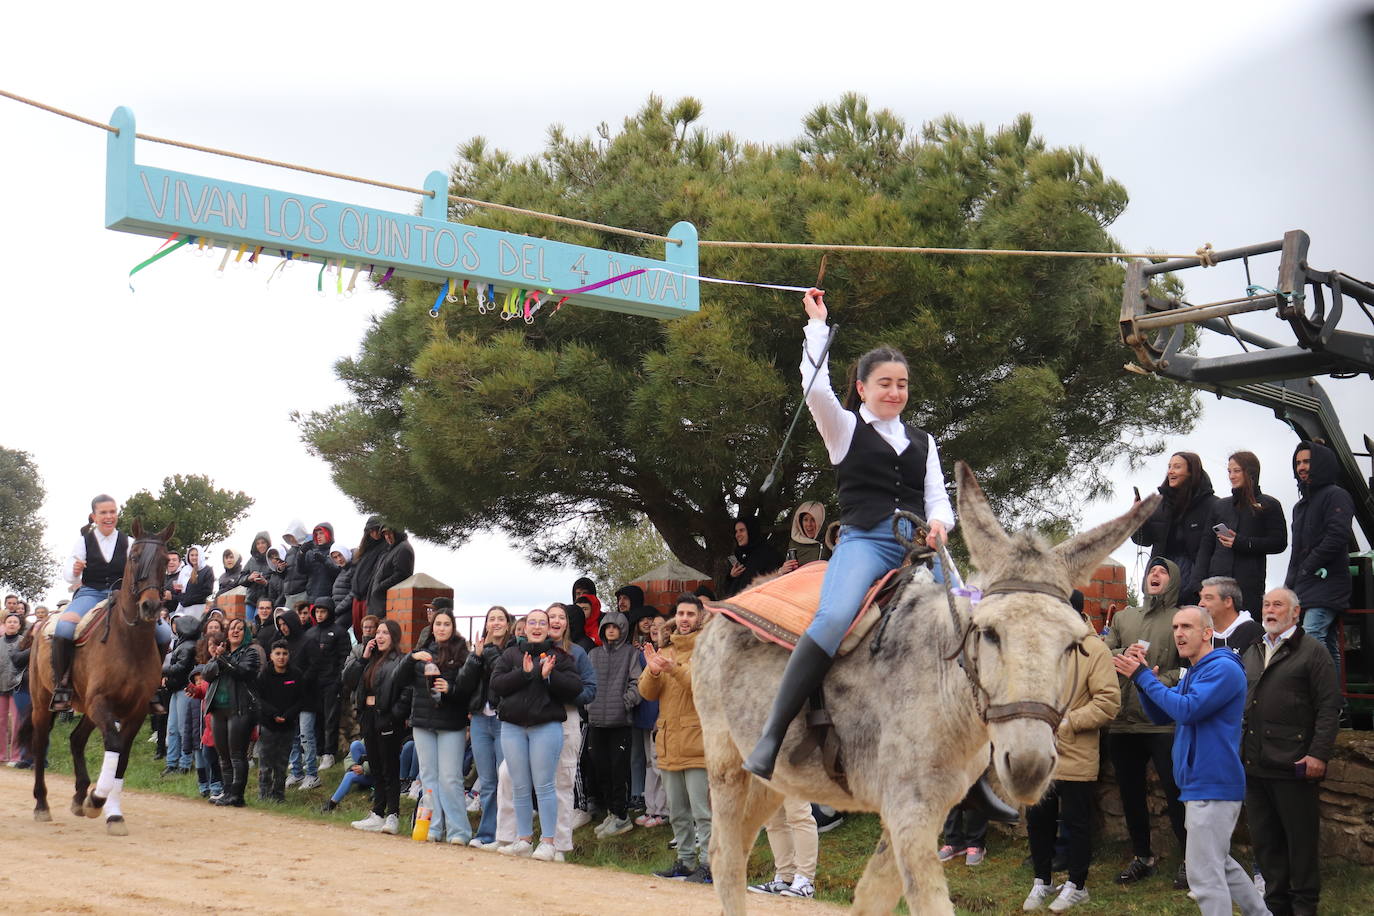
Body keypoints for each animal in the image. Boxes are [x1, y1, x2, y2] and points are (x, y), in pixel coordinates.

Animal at [21, 519, 173, 834]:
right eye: (134, 557)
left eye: (166, 560)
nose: (151, 607)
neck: (129, 641)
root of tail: (41, 624)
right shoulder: (100, 702)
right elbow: (113, 746)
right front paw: (97, 800)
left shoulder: (135, 710)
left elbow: (122, 756)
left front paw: (112, 813)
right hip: (44, 703)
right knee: (40, 745)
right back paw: (42, 805)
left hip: (87, 709)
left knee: (76, 740)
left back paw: (79, 796)